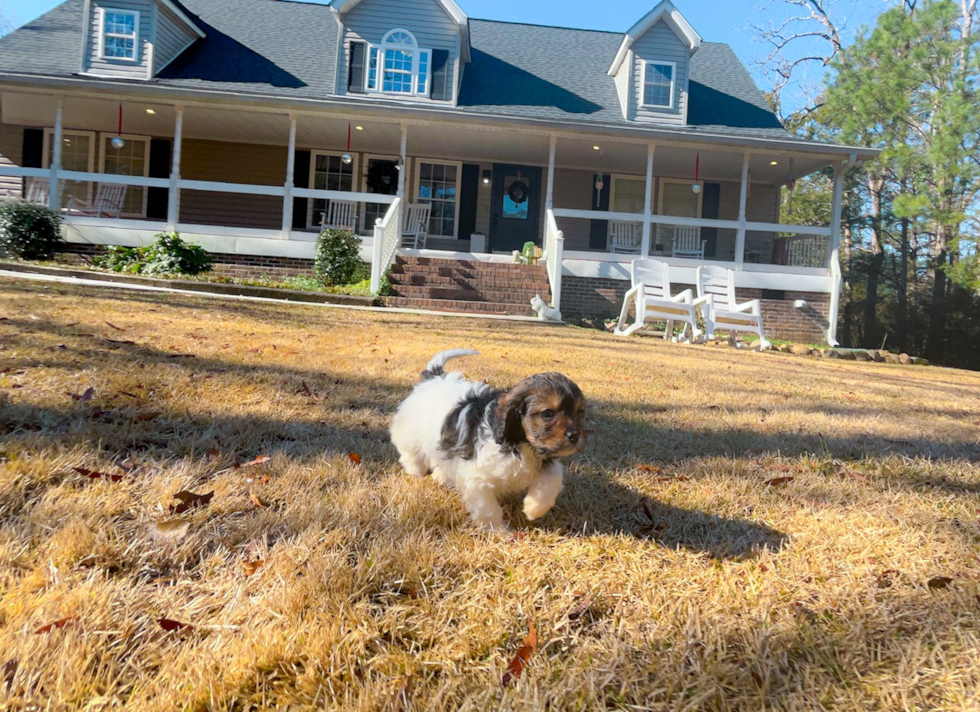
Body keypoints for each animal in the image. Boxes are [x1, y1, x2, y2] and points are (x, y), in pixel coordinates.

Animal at [388, 348, 588, 532]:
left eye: (579, 413)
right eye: (548, 414)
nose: (574, 436)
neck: (519, 443)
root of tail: (434, 377)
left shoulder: (544, 457)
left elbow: (553, 477)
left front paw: (534, 508)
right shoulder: (476, 479)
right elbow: (488, 508)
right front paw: (499, 532)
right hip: (409, 431)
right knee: (408, 451)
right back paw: (415, 469)